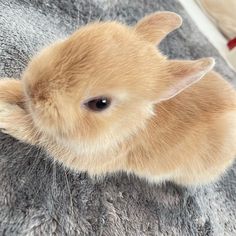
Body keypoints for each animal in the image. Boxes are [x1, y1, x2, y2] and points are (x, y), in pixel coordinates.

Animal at [0, 12, 236, 186]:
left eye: (100, 104)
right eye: (73, 38)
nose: (35, 89)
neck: (126, 124)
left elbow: (33, 130)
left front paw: (5, 115)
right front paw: (5, 88)